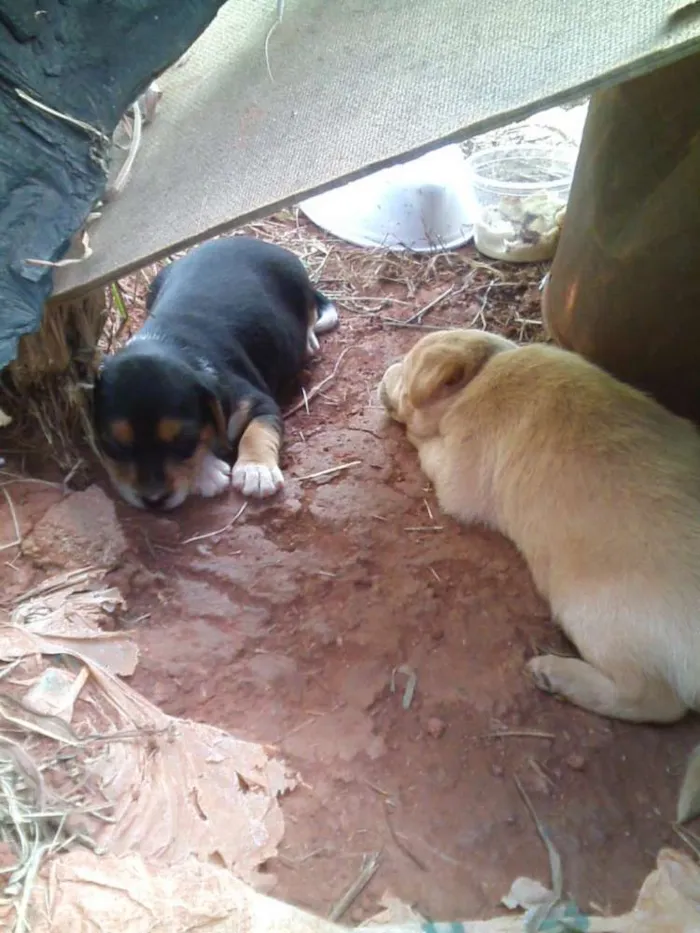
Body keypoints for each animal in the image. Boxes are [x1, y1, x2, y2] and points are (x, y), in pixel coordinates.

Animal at [93, 233, 340, 510]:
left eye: (184, 441)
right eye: (114, 446)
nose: (153, 501)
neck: (168, 342)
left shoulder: (259, 402)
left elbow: (257, 431)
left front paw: (256, 471)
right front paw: (208, 471)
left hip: (297, 284)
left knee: (309, 313)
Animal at [380, 330, 700, 808]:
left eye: (408, 365)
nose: (384, 372)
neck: (479, 375)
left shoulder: (458, 476)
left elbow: (429, 451)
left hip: (593, 615)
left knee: (653, 700)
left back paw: (554, 674)